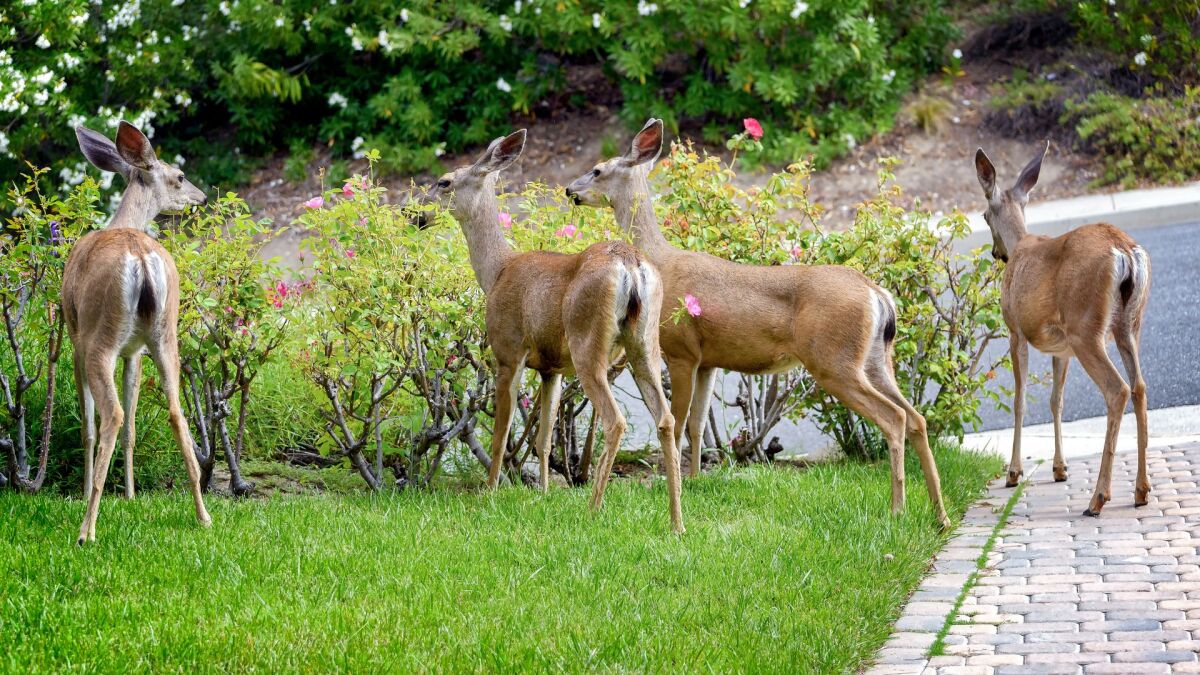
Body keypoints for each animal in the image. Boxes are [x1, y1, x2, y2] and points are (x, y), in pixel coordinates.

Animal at [66, 120, 211, 540]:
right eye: (180, 176)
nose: (201, 196)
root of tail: (142, 257)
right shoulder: (135, 351)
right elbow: (133, 423)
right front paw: (130, 495)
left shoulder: (74, 337)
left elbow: (89, 424)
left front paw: (86, 492)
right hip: (165, 335)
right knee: (176, 412)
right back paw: (203, 514)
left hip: (99, 337)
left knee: (111, 416)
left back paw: (87, 529)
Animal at [420, 130, 686, 530]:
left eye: (445, 182)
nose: (416, 213)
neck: (496, 272)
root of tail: (630, 262)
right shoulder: (551, 368)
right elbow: (544, 436)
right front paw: (544, 493)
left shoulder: (508, 350)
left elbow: (501, 433)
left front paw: (490, 492)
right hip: (645, 342)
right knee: (666, 419)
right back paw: (676, 522)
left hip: (587, 341)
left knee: (615, 420)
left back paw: (593, 510)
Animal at [566, 120, 950, 530]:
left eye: (597, 170)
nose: (570, 190)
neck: (661, 259)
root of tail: (877, 293)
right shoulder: (709, 360)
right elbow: (698, 423)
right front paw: (696, 479)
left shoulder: (681, 349)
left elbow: (680, 419)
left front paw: (678, 482)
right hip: (876, 358)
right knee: (917, 417)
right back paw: (939, 515)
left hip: (834, 360)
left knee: (894, 418)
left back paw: (898, 510)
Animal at [974, 140, 1152, 509]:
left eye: (984, 215)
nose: (997, 254)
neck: (1021, 245)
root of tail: (1125, 251)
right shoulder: (1061, 347)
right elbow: (1056, 400)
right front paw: (1060, 468)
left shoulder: (1015, 331)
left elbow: (1021, 400)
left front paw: (1013, 473)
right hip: (1128, 324)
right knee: (1139, 386)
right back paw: (1141, 491)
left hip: (1086, 327)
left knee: (1118, 389)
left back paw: (1098, 498)